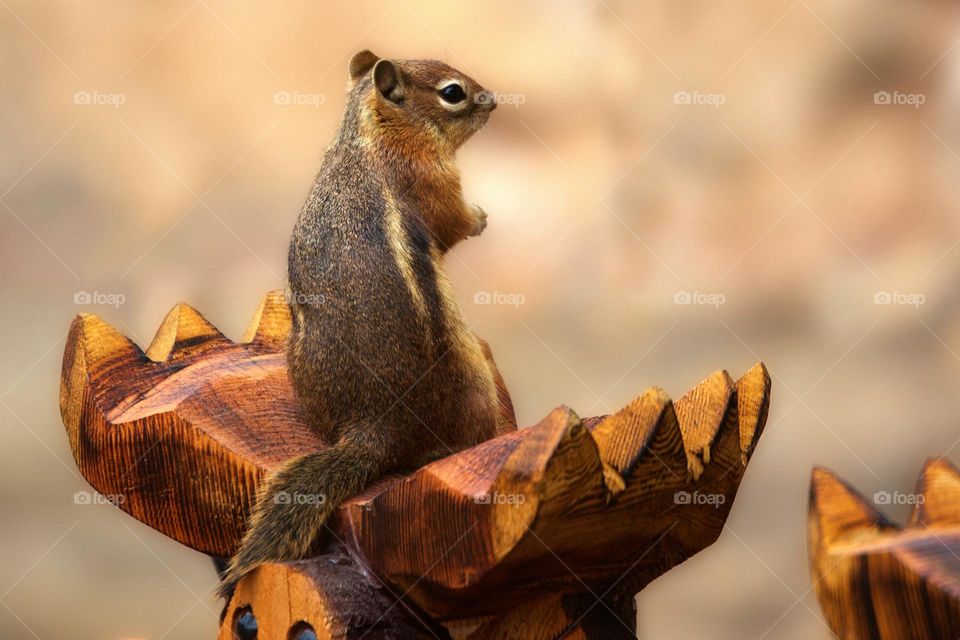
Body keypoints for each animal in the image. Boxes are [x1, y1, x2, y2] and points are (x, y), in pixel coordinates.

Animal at [219, 50, 516, 594]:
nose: (492, 100)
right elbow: (453, 223)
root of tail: (374, 428)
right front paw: (479, 217)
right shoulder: (435, 179)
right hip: (475, 379)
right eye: (453, 92)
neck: (366, 138)